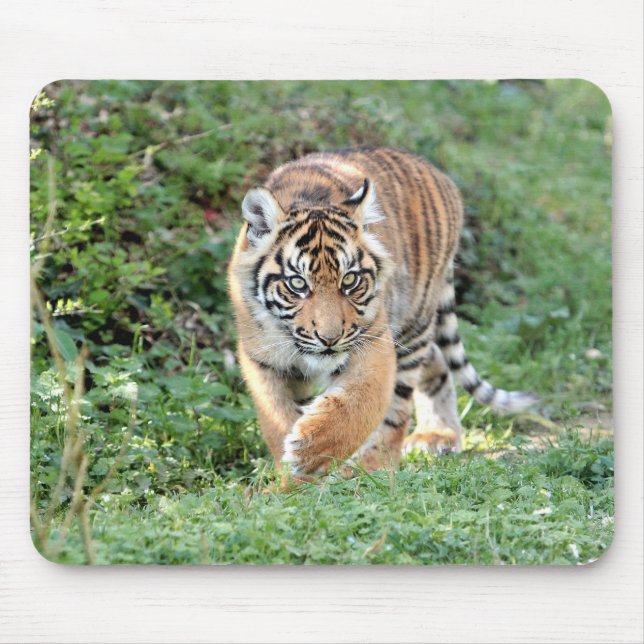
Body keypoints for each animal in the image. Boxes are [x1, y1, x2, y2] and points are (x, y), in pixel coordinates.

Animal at [227, 146, 538, 478]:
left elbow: (357, 406)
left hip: (413, 326)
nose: (329, 338)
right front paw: (290, 475)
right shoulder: (262, 358)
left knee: (397, 410)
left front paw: (309, 454)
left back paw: (374, 467)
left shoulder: (375, 345)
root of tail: (436, 172)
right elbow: (276, 418)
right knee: (438, 361)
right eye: (297, 283)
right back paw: (438, 435)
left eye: (349, 280)